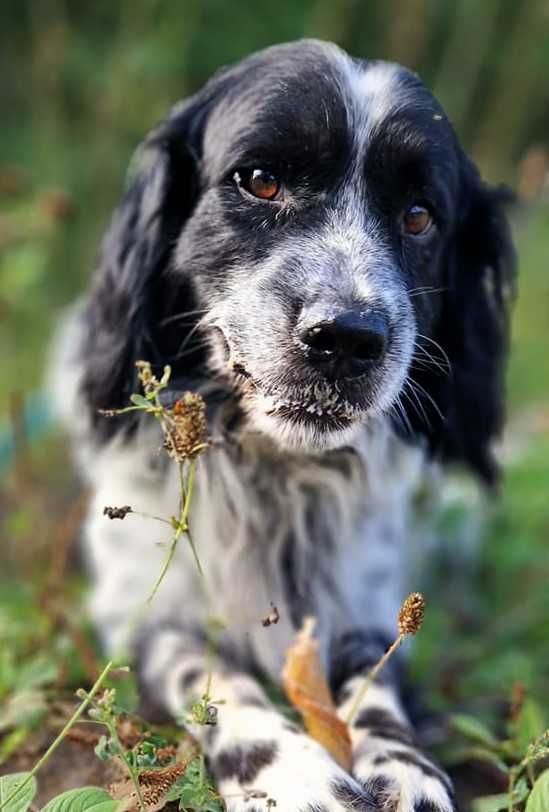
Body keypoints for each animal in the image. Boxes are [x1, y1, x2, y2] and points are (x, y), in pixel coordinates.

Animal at [57, 41, 516, 812]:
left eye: (419, 217)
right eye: (260, 181)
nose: (348, 339)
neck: (274, 473)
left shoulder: (365, 603)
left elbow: (374, 682)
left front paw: (406, 770)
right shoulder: (140, 615)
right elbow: (210, 676)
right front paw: (293, 776)